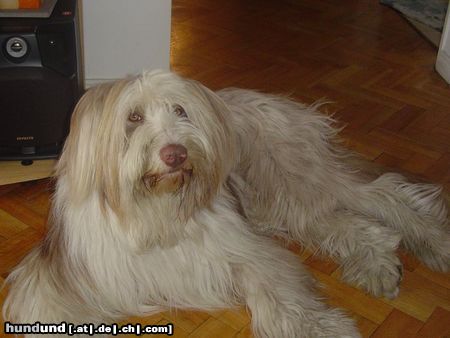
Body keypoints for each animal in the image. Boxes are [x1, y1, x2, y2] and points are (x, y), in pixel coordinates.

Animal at [3, 70, 450, 336]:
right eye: (133, 118)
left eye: (180, 110)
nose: (176, 154)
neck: (156, 210)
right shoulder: (61, 278)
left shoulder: (241, 247)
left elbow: (277, 291)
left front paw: (319, 328)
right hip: (282, 199)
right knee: (348, 224)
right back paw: (378, 264)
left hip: (290, 177)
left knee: (384, 193)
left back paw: (434, 241)